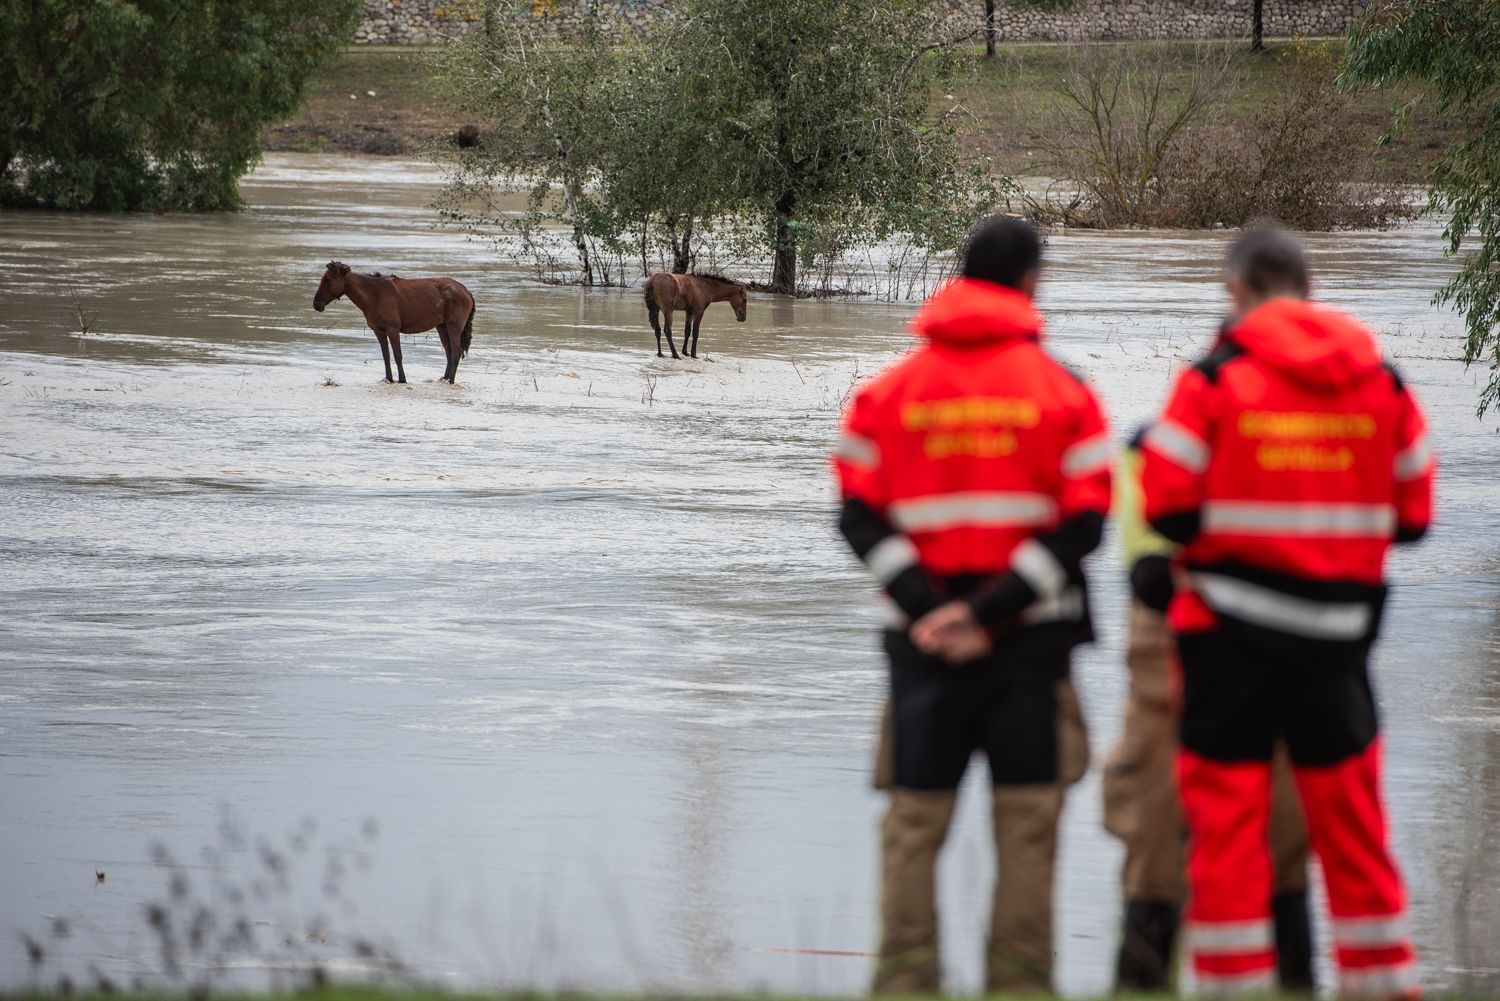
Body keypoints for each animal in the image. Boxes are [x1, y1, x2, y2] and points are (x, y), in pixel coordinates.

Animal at [313, 261, 477, 387]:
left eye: (328, 279)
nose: (316, 304)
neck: (373, 295)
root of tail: (467, 291)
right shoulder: (379, 331)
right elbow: (386, 356)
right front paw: (389, 378)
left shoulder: (393, 329)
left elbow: (398, 355)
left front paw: (402, 379)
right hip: (441, 326)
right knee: (449, 352)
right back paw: (445, 378)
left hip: (454, 326)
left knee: (455, 352)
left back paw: (451, 380)